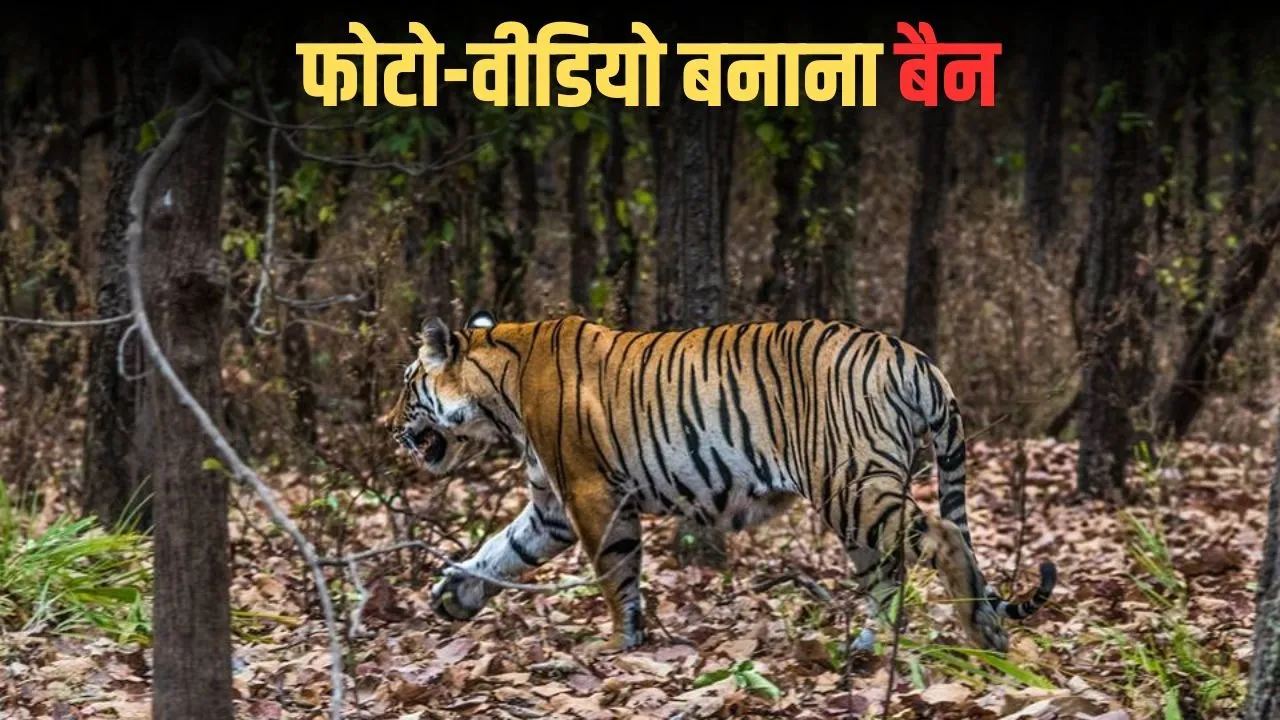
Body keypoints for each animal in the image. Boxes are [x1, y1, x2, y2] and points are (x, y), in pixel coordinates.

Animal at [387, 310, 1056, 654]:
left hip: (851, 485)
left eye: (406, 383)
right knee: (889, 573)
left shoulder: (591, 494)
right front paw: (453, 595)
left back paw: (983, 635)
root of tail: (911, 355)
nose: (387, 427)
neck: (497, 394)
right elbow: (500, 551)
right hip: (857, 499)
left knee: (943, 535)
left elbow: (615, 575)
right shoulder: (551, 507)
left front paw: (621, 645)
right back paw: (868, 647)